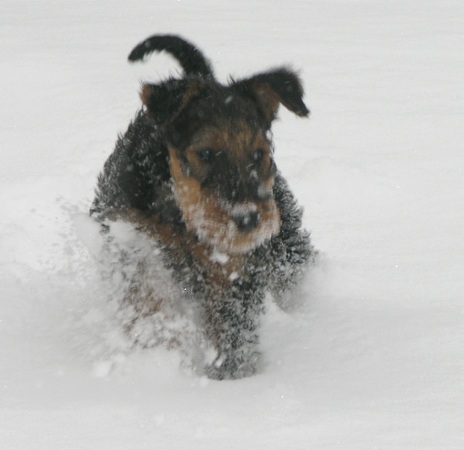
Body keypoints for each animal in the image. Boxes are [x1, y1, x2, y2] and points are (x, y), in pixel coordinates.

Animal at [90, 35, 316, 380]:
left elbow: (232, 328)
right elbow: (145, 296)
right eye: (206, 152)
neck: (180, 213)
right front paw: (158, 343)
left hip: (285, 242)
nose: (248, 220)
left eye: (258, 154)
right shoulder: (128, 239)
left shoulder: (233, 268)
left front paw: (231, 375)